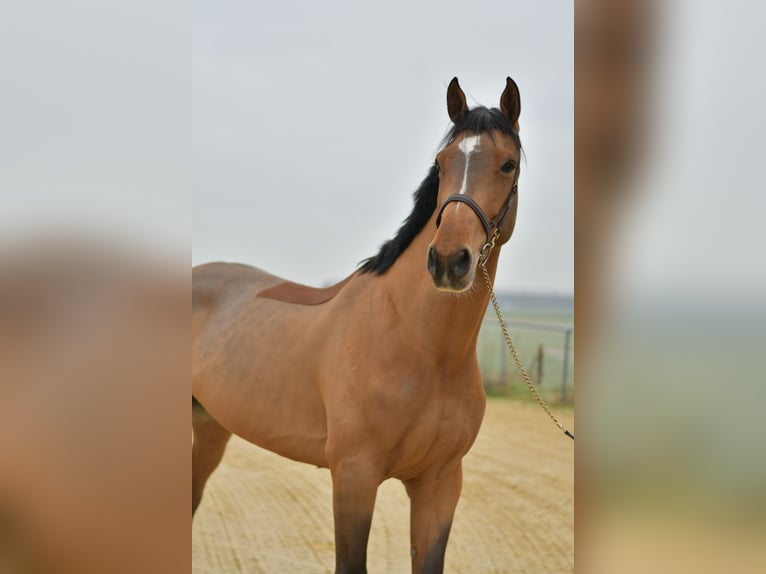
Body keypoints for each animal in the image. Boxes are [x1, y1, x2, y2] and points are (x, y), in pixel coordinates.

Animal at [192, 76, 522, 574]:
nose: (449, 260)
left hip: (209, 428)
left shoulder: (441, 484)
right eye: (441, 163)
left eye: (508, 164)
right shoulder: (354, 477)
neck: (424, 350)